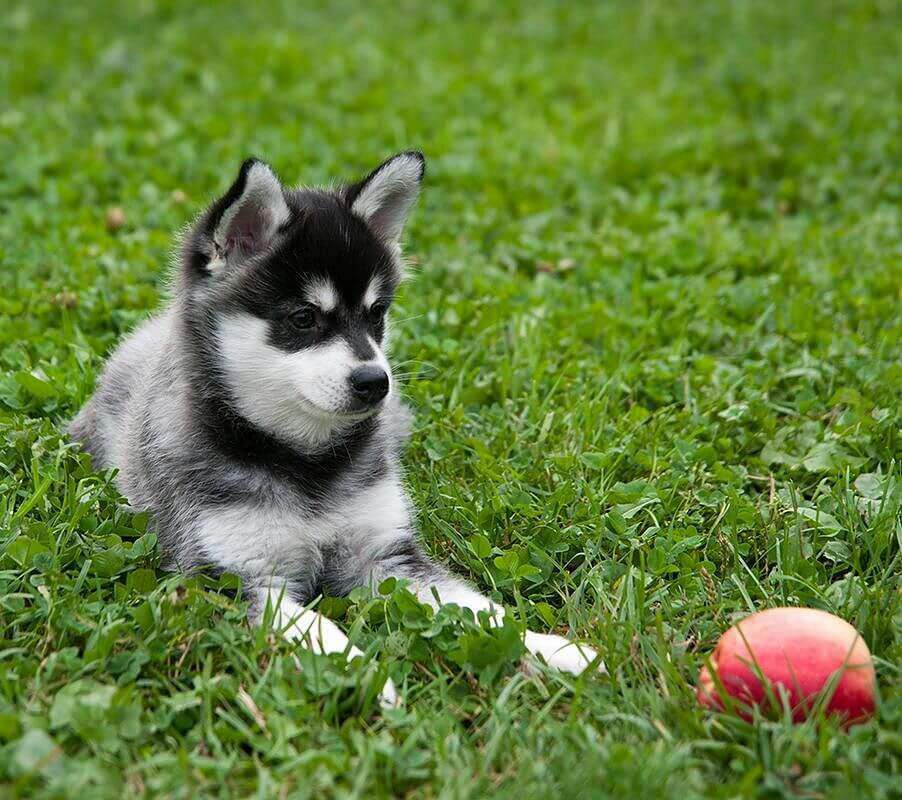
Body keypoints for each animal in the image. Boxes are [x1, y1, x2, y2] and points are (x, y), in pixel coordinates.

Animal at [70, 153, 604, 704]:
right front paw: (363, 676)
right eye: (304, 317)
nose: (375, 382)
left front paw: (549, 646)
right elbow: (319, 630)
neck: (304, 460)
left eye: (377, 313)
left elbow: (475, 606)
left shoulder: (384, 556)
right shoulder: (229, 577)